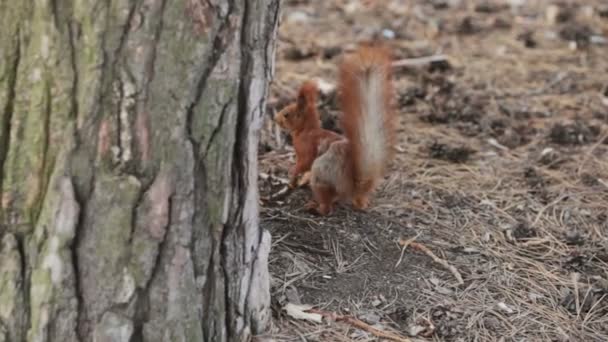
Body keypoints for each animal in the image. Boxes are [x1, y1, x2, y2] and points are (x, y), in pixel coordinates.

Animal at [276, 44, 394, 216]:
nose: (275, 119)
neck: (306, 130)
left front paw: (292, 177)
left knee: (327, 206)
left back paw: (315, 208)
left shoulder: (306, 148)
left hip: (322, 173)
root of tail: (353, 188)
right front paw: (302, 179)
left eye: (286, 114)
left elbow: (303, 163)